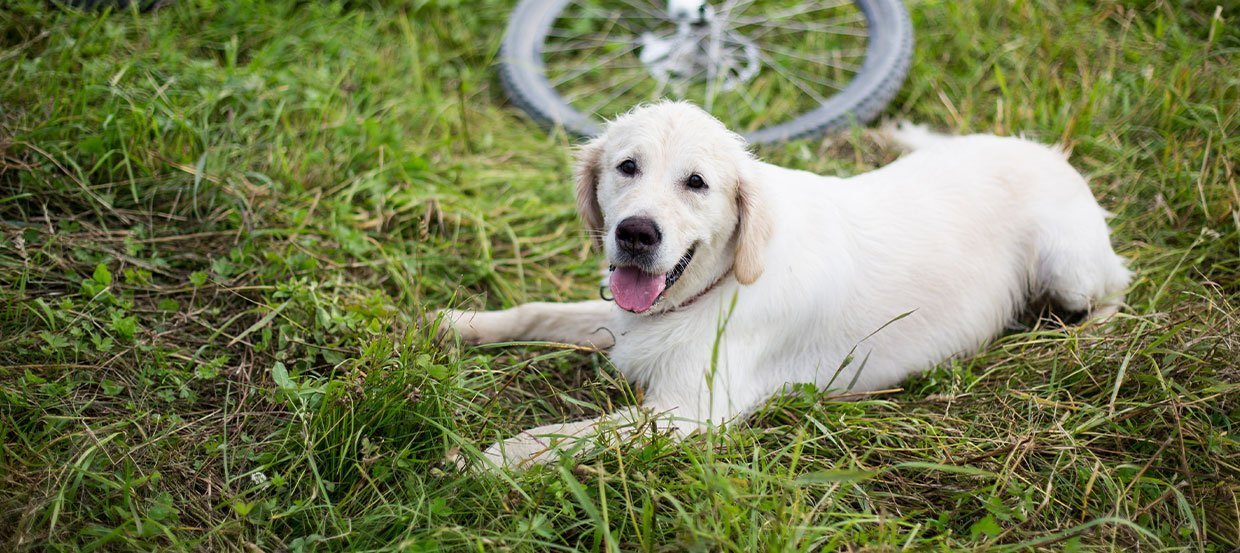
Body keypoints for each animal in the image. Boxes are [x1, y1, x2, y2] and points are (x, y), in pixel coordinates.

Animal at [438, 101, 1135, 468]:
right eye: (626, 167)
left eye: (697, 182)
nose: (635, 234)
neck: (717, 284)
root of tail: (1046, 152)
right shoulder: (626, 321)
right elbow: (536, 311)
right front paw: (451, 325)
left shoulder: (689, 413)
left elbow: (571, 433)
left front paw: (486, 459)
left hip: (1070, 268)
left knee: (1117, 289)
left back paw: (1084, 338)